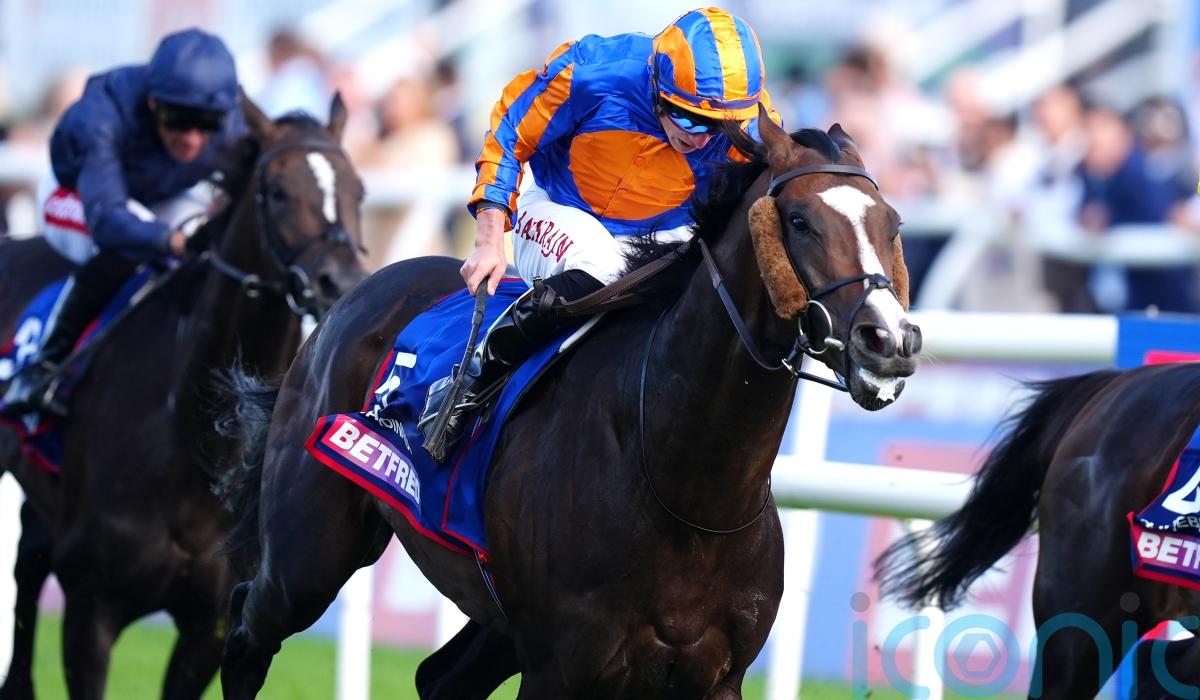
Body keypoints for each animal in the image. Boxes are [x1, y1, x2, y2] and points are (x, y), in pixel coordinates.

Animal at [0, 94, 366, 700]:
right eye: (276, 191)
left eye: (359, 190)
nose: (341, 281)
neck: (191, 446)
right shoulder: (91, 607)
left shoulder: (208, 626)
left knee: (30, 552)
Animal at [218, 111, 922, 699]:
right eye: (800, 222)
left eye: (893, 225)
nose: (888, 340)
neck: (686, 492)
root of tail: (357, 294)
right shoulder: (560, 670)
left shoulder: (716, 677)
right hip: (309, 553)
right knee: (247, 633)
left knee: (437, 678)